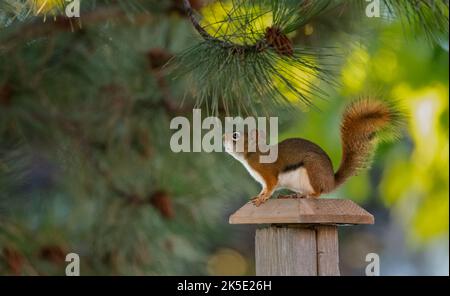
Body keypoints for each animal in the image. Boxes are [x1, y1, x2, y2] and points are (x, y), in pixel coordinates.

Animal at [225, 99, 400, 206]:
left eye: (235, 135)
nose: (222, 138)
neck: (252, 154)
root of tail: (330, 182)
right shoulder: (263, 181)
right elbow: (263, 188)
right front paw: (258, 196)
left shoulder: (267, 172)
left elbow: (271, 186)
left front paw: (263, 199)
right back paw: (294, 195)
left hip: (312, 169)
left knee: (318, 193)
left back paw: (307, 195)